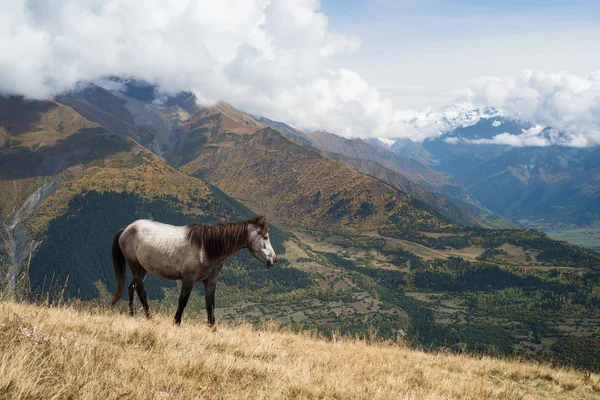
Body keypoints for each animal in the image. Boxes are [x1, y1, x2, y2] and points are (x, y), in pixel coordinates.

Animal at [110, 216, 276, 324]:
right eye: (265, 237)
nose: (273, 260)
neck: (206, 248)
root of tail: (126, 230)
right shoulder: (189, 279)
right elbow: (183, 301)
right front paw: (176, 323)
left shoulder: (210, 281)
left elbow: (210, 305)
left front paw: (212, 329)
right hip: (136, 267)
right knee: (140, 290)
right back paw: (149, 318)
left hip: (142, 269)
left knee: (132, 287)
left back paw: (132, 315)